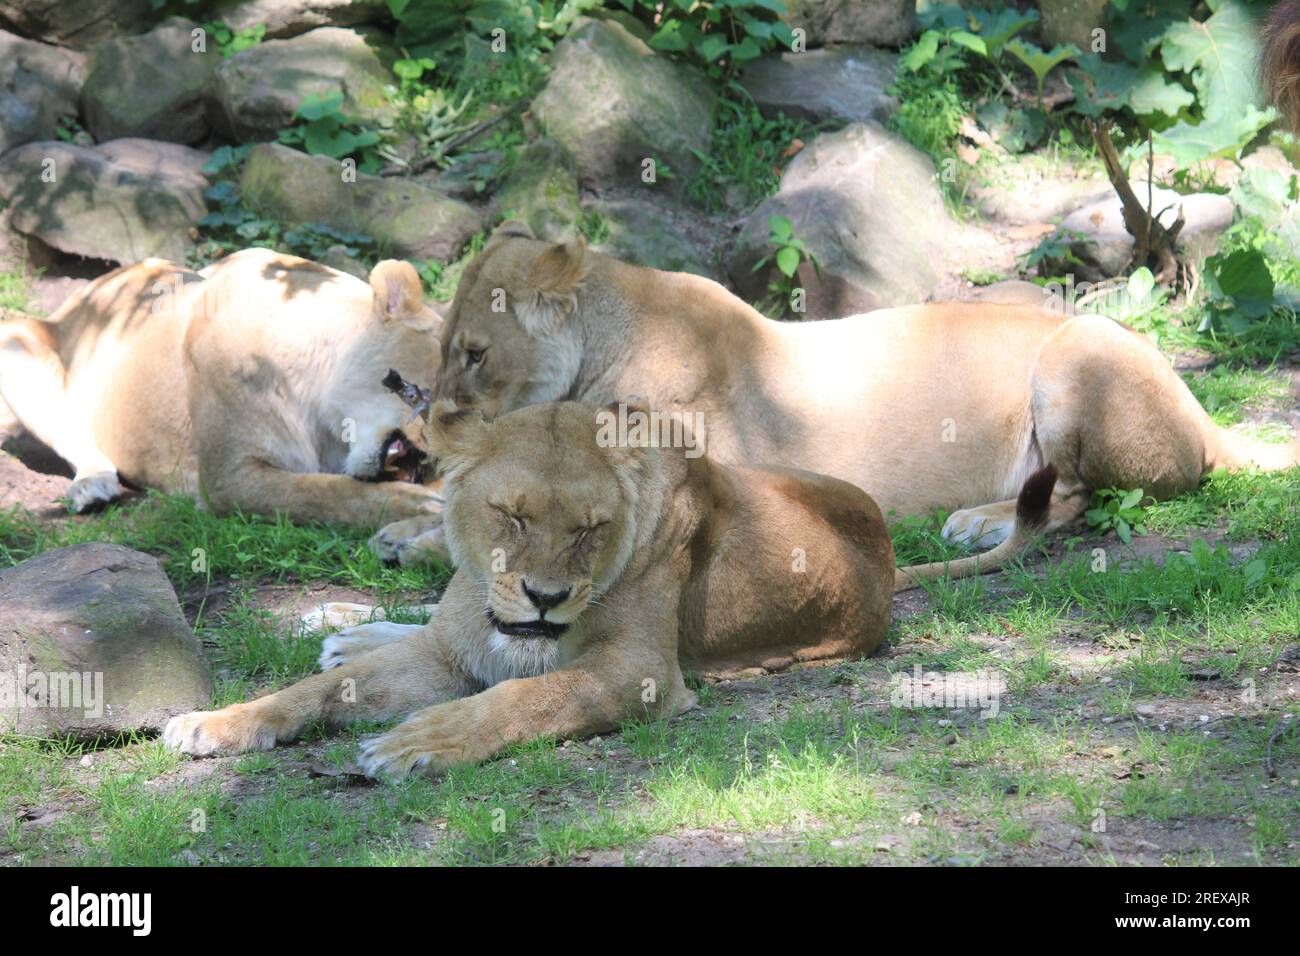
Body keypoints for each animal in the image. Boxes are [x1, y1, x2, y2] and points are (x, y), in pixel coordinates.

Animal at [165, 400, 1053, 774]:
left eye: (591, 529)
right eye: (512, 515)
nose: (545, 598)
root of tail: (889, 548)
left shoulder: (641, 673)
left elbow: (526, 696)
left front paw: (421, 741)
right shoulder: (453, 651)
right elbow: (314, 693)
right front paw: (216, 722)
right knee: (425, 614)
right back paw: (344, 621)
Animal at [404, 220, 1298, 572]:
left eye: (474, 354)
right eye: (440, 350)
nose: (429, 425)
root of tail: (1202, 411)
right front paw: (412, 526)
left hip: (1074, 354)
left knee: (1084, 494)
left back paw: (981, 522)